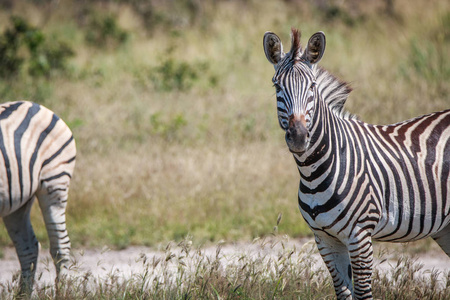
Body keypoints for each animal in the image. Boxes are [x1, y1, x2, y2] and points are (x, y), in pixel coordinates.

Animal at [0, 101, 75, 296]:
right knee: (28, 249)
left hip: (55, 183)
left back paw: (61, 294)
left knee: (60, 246)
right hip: (17, 201)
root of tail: (32, 104)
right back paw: (22, 296)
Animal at [264, 28, 450, 300]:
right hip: (445, 228)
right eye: (277, 86)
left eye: (312, 86)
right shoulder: (324, 239)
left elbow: (362, 293)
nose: (298, 137)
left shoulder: (360, 235)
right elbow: (343, 292)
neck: (313, 171)